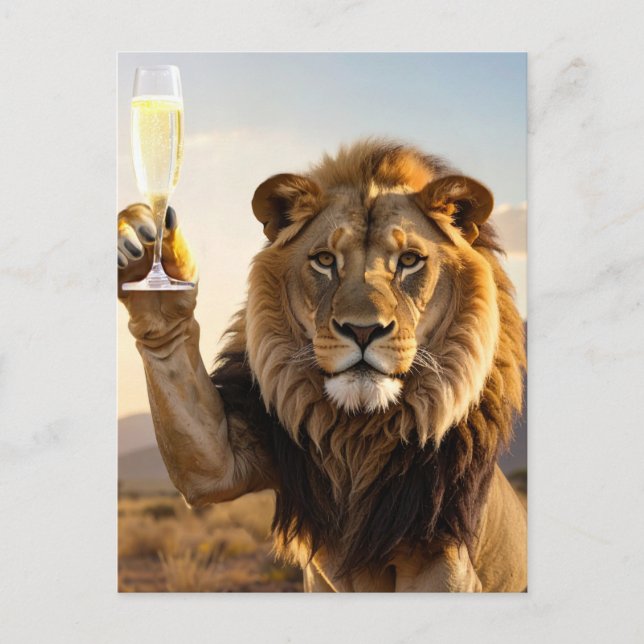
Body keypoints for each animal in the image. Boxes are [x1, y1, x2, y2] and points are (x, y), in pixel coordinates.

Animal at [118, 139, 527, 592]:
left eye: (409, 261)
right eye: (326, 260)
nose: (363, 330)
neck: (359, 431)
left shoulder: (442, 550)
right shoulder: (233, 454)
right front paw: (146, 258)